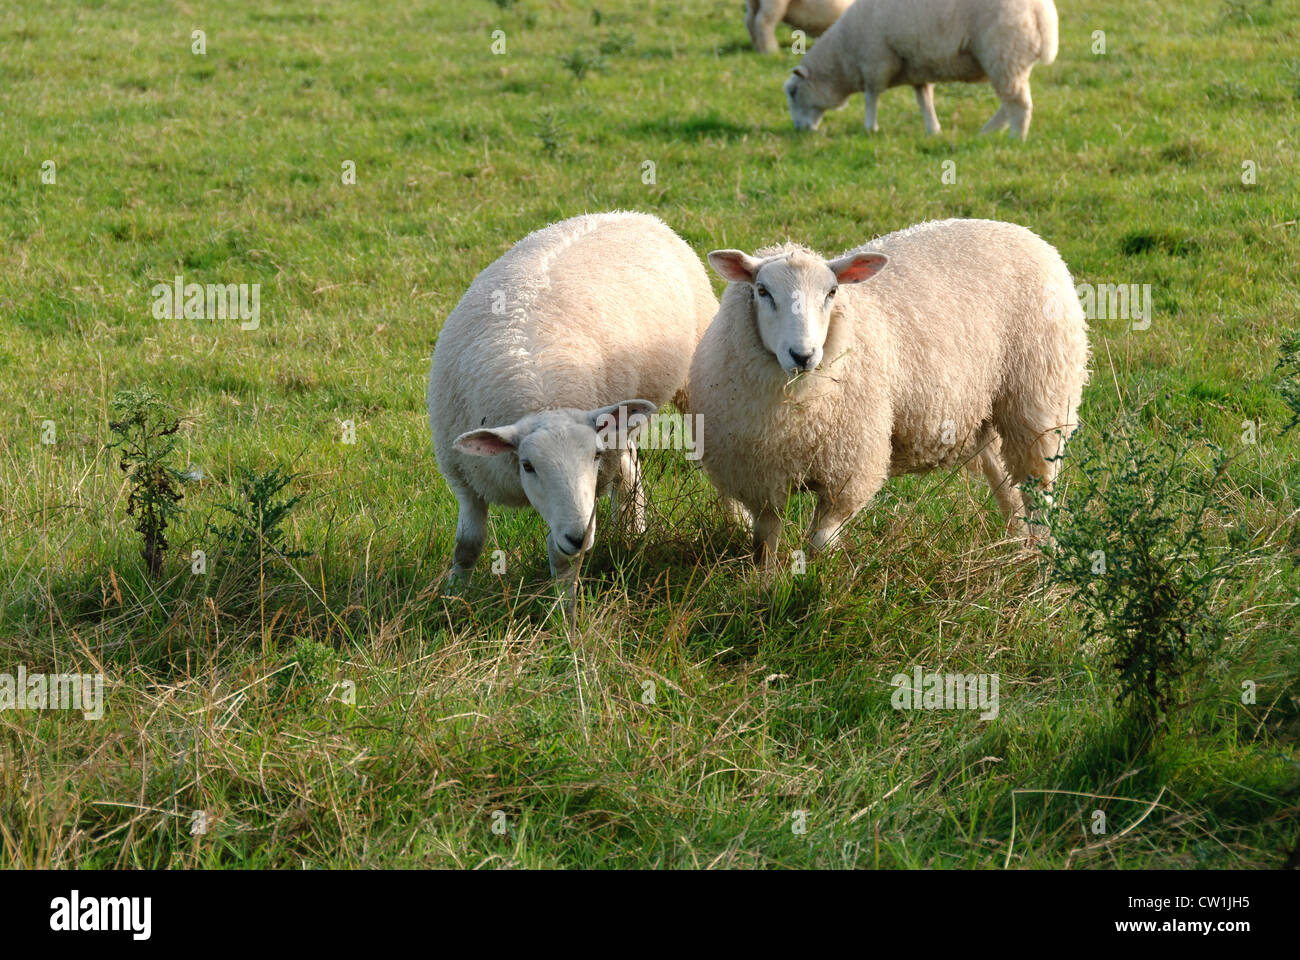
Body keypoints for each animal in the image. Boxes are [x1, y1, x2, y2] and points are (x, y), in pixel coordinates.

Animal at [426, 210, 717, 582]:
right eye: (527, 465)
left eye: (593, 456)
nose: (579, 537)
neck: (542, 397)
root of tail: (632, 215)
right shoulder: (464, 478)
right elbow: (467, 546)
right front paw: (455, 593)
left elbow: (561, 557)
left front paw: (564, 599)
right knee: (629, 469)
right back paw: (633, 535)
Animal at [686, 217, 1092, 561]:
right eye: (762, 291)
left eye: (832, 292)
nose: (803, 355)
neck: (799, 410)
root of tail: (1024, 232)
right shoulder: (759, 478)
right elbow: (766, 543)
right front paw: (766, 585)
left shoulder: (848, 470)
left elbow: (820, 541)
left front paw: (817, 583)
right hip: (983, 414)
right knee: (1007, 487)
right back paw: (1018, 547)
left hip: (1040, 402)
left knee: (1039, 491)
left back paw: (1042, 560)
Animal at [780, 0, 1055, 138]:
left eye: (793, 93)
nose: (798, 130)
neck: (843, 54)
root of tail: (1044, 15)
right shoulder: (918, 67)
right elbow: (925, 100)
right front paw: (933, 129)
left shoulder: (875, 60)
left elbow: (871, 96)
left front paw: (870, 127)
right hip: (1012, 62)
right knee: (1010, 104)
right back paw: (987, 132)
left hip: (1004, 54)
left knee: (1019, 105)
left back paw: (1016, 138)